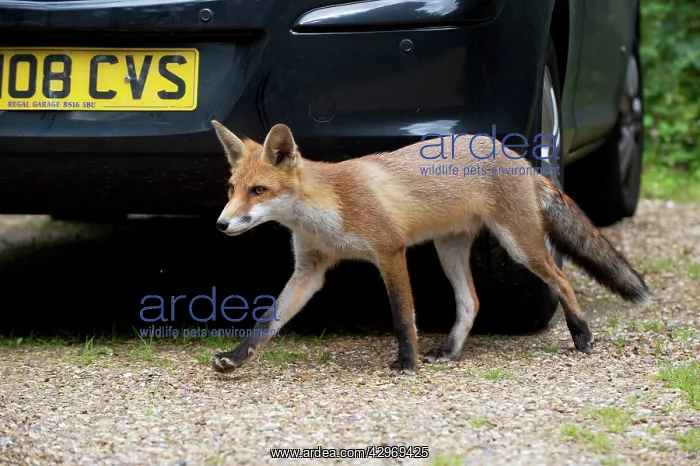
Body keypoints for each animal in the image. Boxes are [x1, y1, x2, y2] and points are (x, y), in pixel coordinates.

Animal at [208, 120, 651, 375]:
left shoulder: (389, 251)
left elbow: (403, 316)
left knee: (561, 278)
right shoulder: (309, 270)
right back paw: (450, 351)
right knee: (471, 301)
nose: (221, 224)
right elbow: (266, 322)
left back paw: (581, 335)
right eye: (231, 189)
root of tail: (518, 158)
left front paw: (407, 363)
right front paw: (235, 357)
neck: (326, 207)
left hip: (519, 245)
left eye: (258, 190)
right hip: (448, 249)